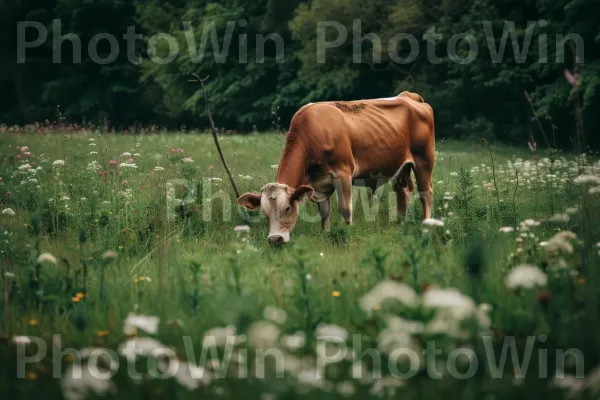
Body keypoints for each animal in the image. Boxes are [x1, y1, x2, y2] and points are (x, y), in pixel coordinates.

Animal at [236, 92, 436, 245]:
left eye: (287, 208)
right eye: (264, 212)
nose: (275, 239)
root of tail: (408, 96)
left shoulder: (343, 174)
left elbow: (345, 209)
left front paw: (348, 234)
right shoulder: (319, 184)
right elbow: (325, 213)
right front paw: (325, 235)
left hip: (424, 160)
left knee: (425, 193)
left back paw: (427, 225)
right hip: (400, 167)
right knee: (404, 191)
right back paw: (401, 222)